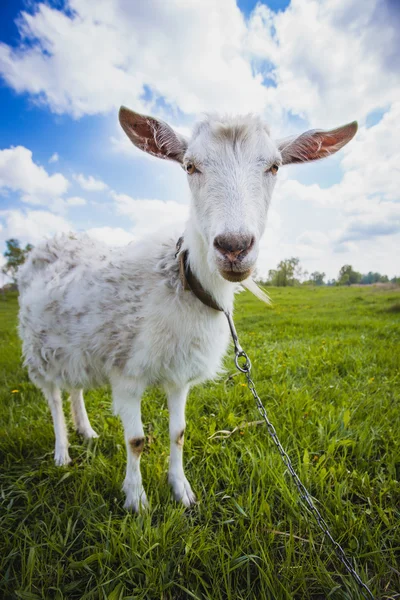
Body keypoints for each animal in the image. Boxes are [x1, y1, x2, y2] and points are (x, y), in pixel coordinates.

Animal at [17, 109, 358, 510]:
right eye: (190, 166)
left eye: (274, 166)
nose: (234, 246)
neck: (180, 280)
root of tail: (51, 241)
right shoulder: (126, 374)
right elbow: (136, 441)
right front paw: (137, 501)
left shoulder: (179, 373)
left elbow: (178, 432)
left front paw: (182, 491)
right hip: (38, 350)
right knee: (54, 398)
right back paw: (62, 452)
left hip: (76, 347)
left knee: (75, 389)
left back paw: (86, 431)